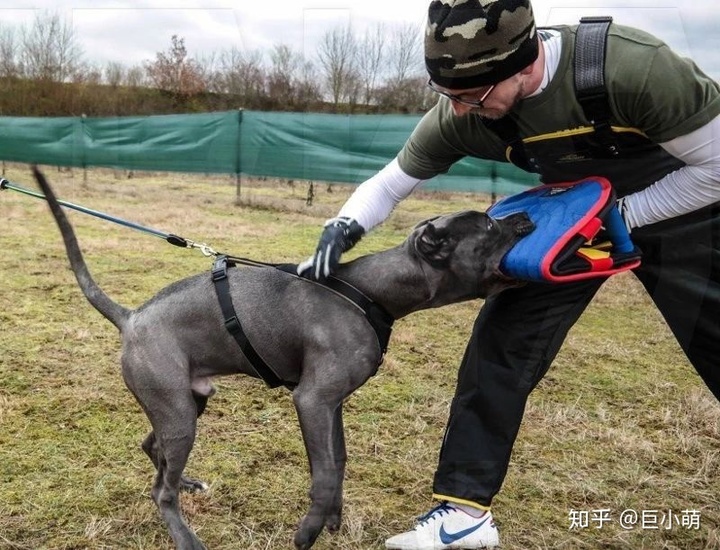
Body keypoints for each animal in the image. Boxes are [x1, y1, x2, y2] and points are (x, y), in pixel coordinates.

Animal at [32, 169, 536, 550]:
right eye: (488, 226)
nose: (527, 215)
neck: (373, 291)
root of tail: (131, 318)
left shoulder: (332, 404)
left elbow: (338, 461)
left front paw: (332, 518)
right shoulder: (312, 400)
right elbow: (325, 473)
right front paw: (308, 531)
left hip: (186, 404)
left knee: (152, 450)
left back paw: (188, 483)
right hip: (179, 413)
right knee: (161, 491)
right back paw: (186, 536)